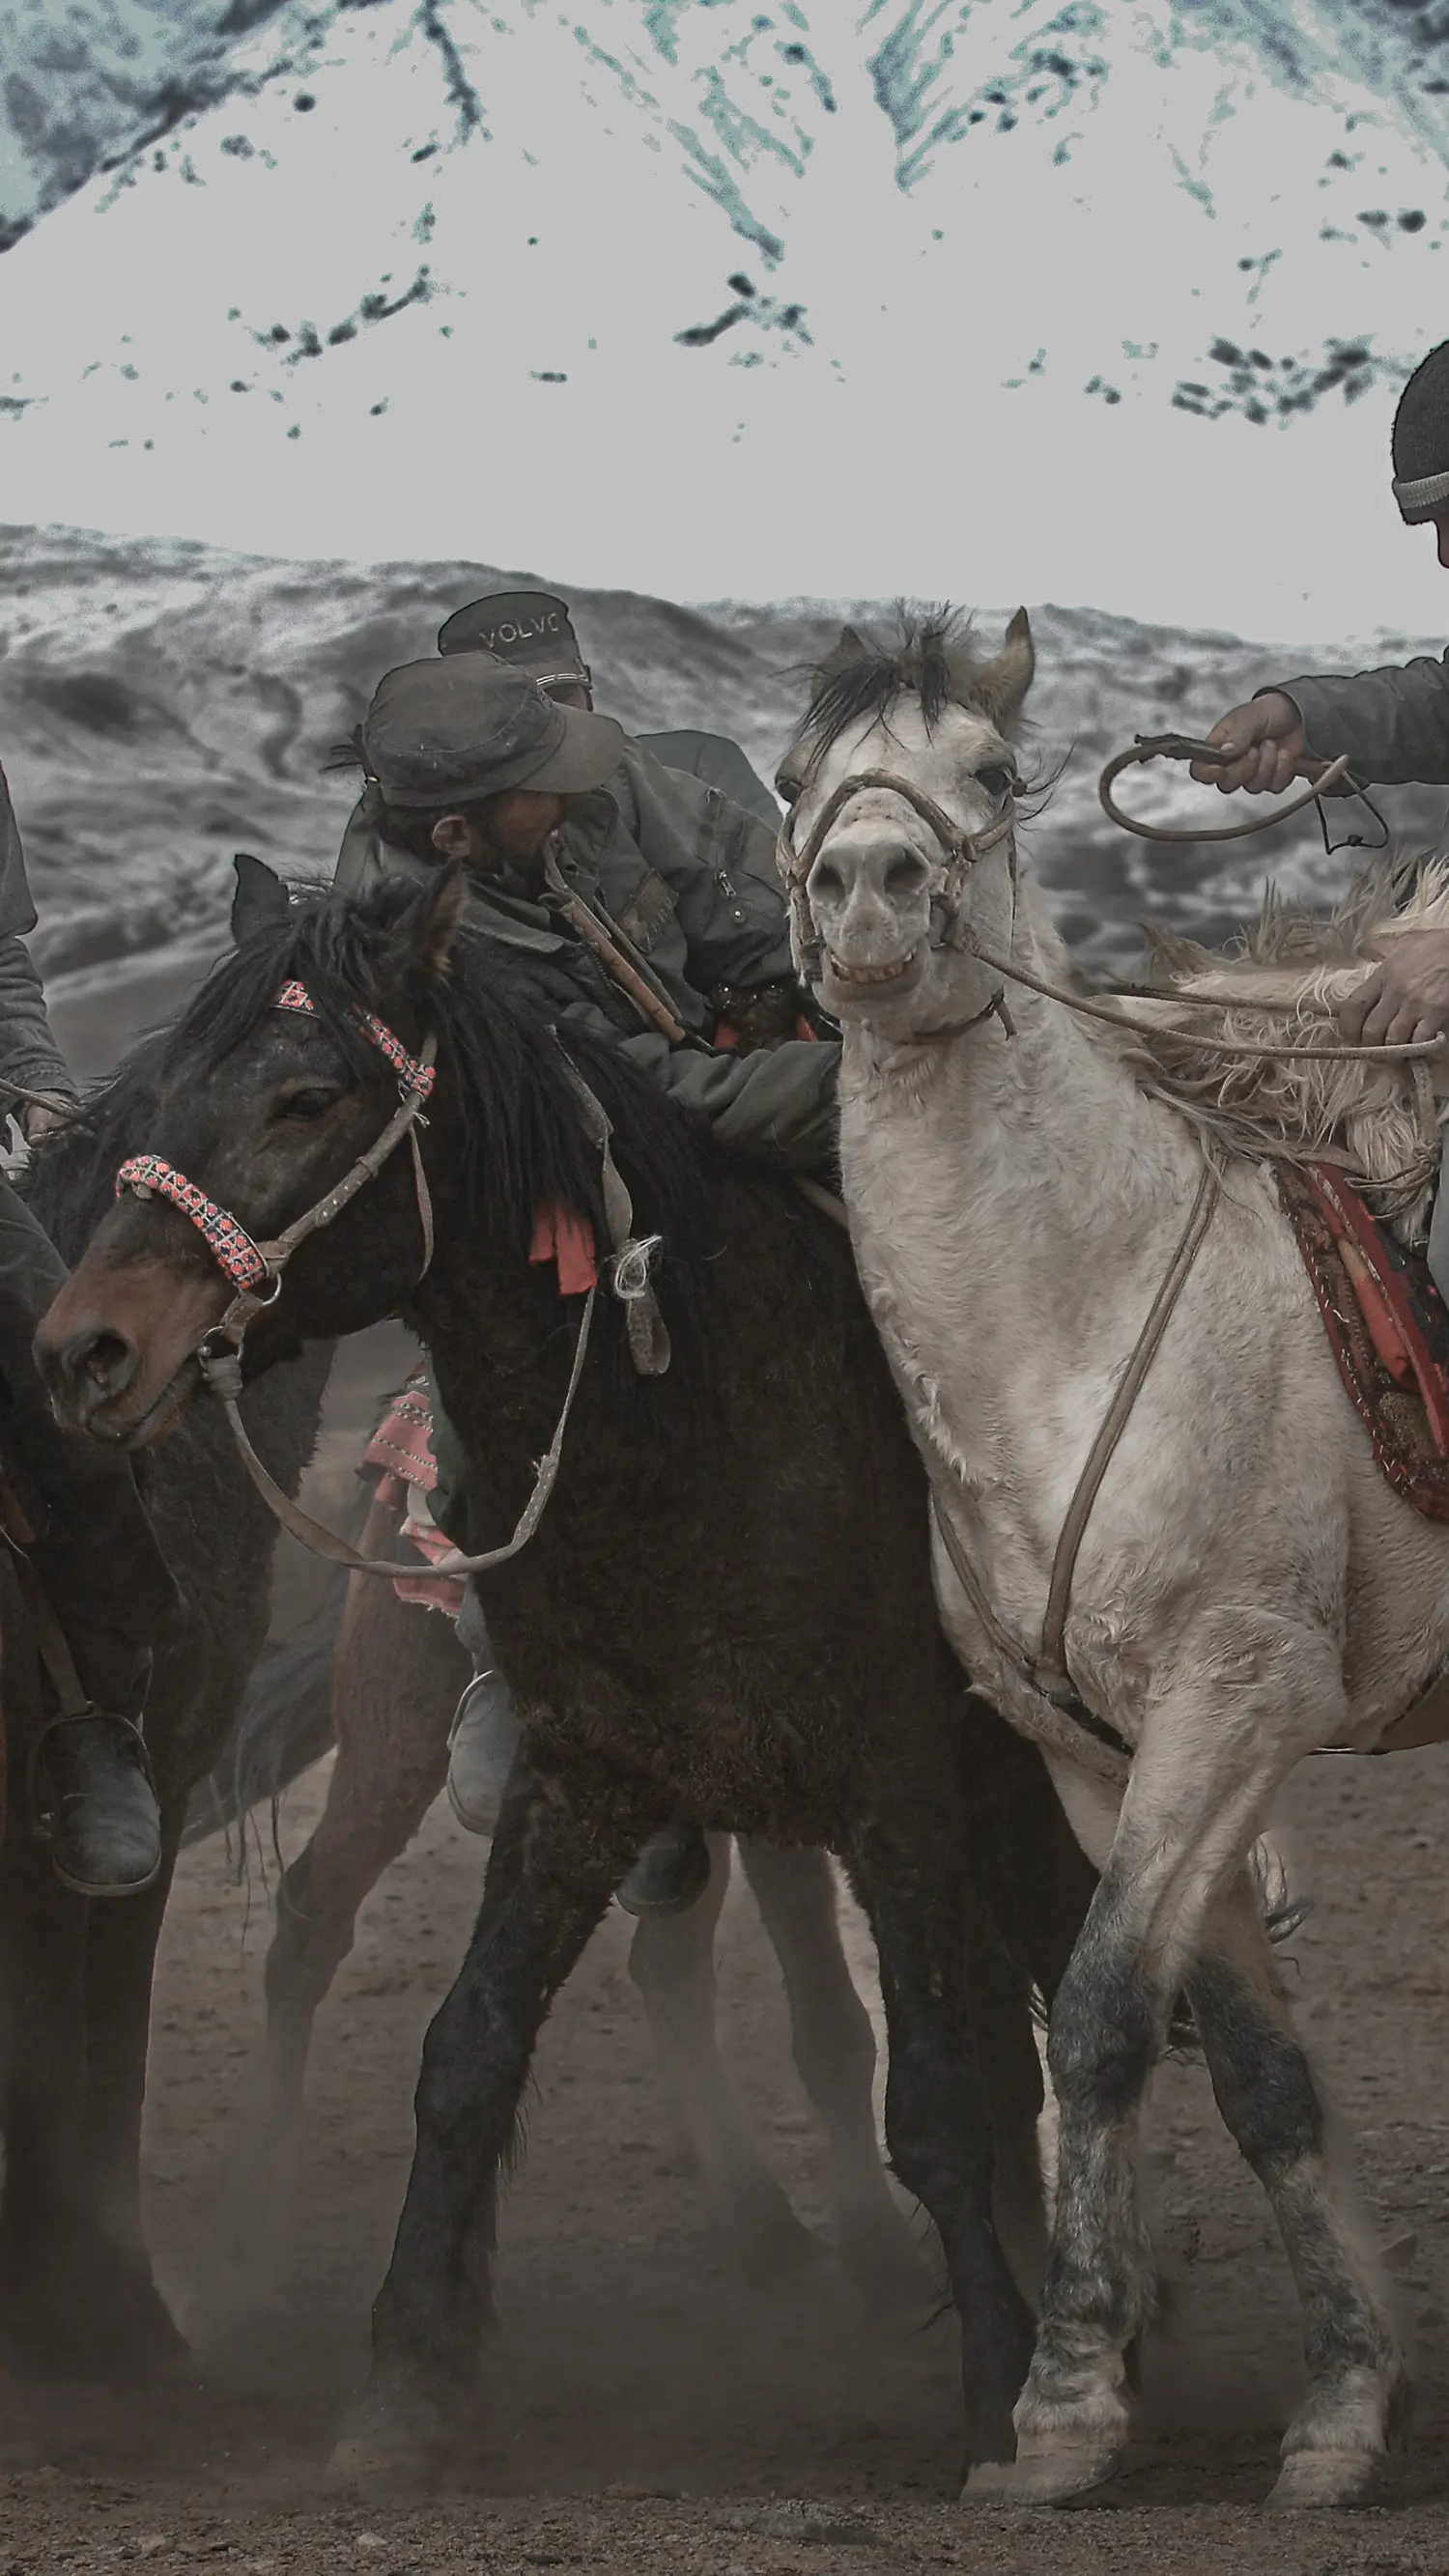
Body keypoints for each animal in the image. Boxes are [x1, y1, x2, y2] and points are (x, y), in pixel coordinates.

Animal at [34, 860, 1095, 2491]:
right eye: (156, 1093)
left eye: (305, 1096)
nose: (89, 1347)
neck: (693, 1407)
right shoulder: (581, 1768)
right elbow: (465, 2053)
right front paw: (403, 2384)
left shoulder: (897, 1783)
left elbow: (933, 2092)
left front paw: (994, 2393)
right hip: (420, 1734)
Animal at [769, 605, 1449, 2509]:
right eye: (793, 777)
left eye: (997, 772)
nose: (865, 887)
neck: (1077, 1311)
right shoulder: (1103, 1748)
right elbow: (1257, 2073)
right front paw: (1341, 2406)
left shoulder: (1239, 1693)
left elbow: (1090, 2022)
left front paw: (1064, 2404)